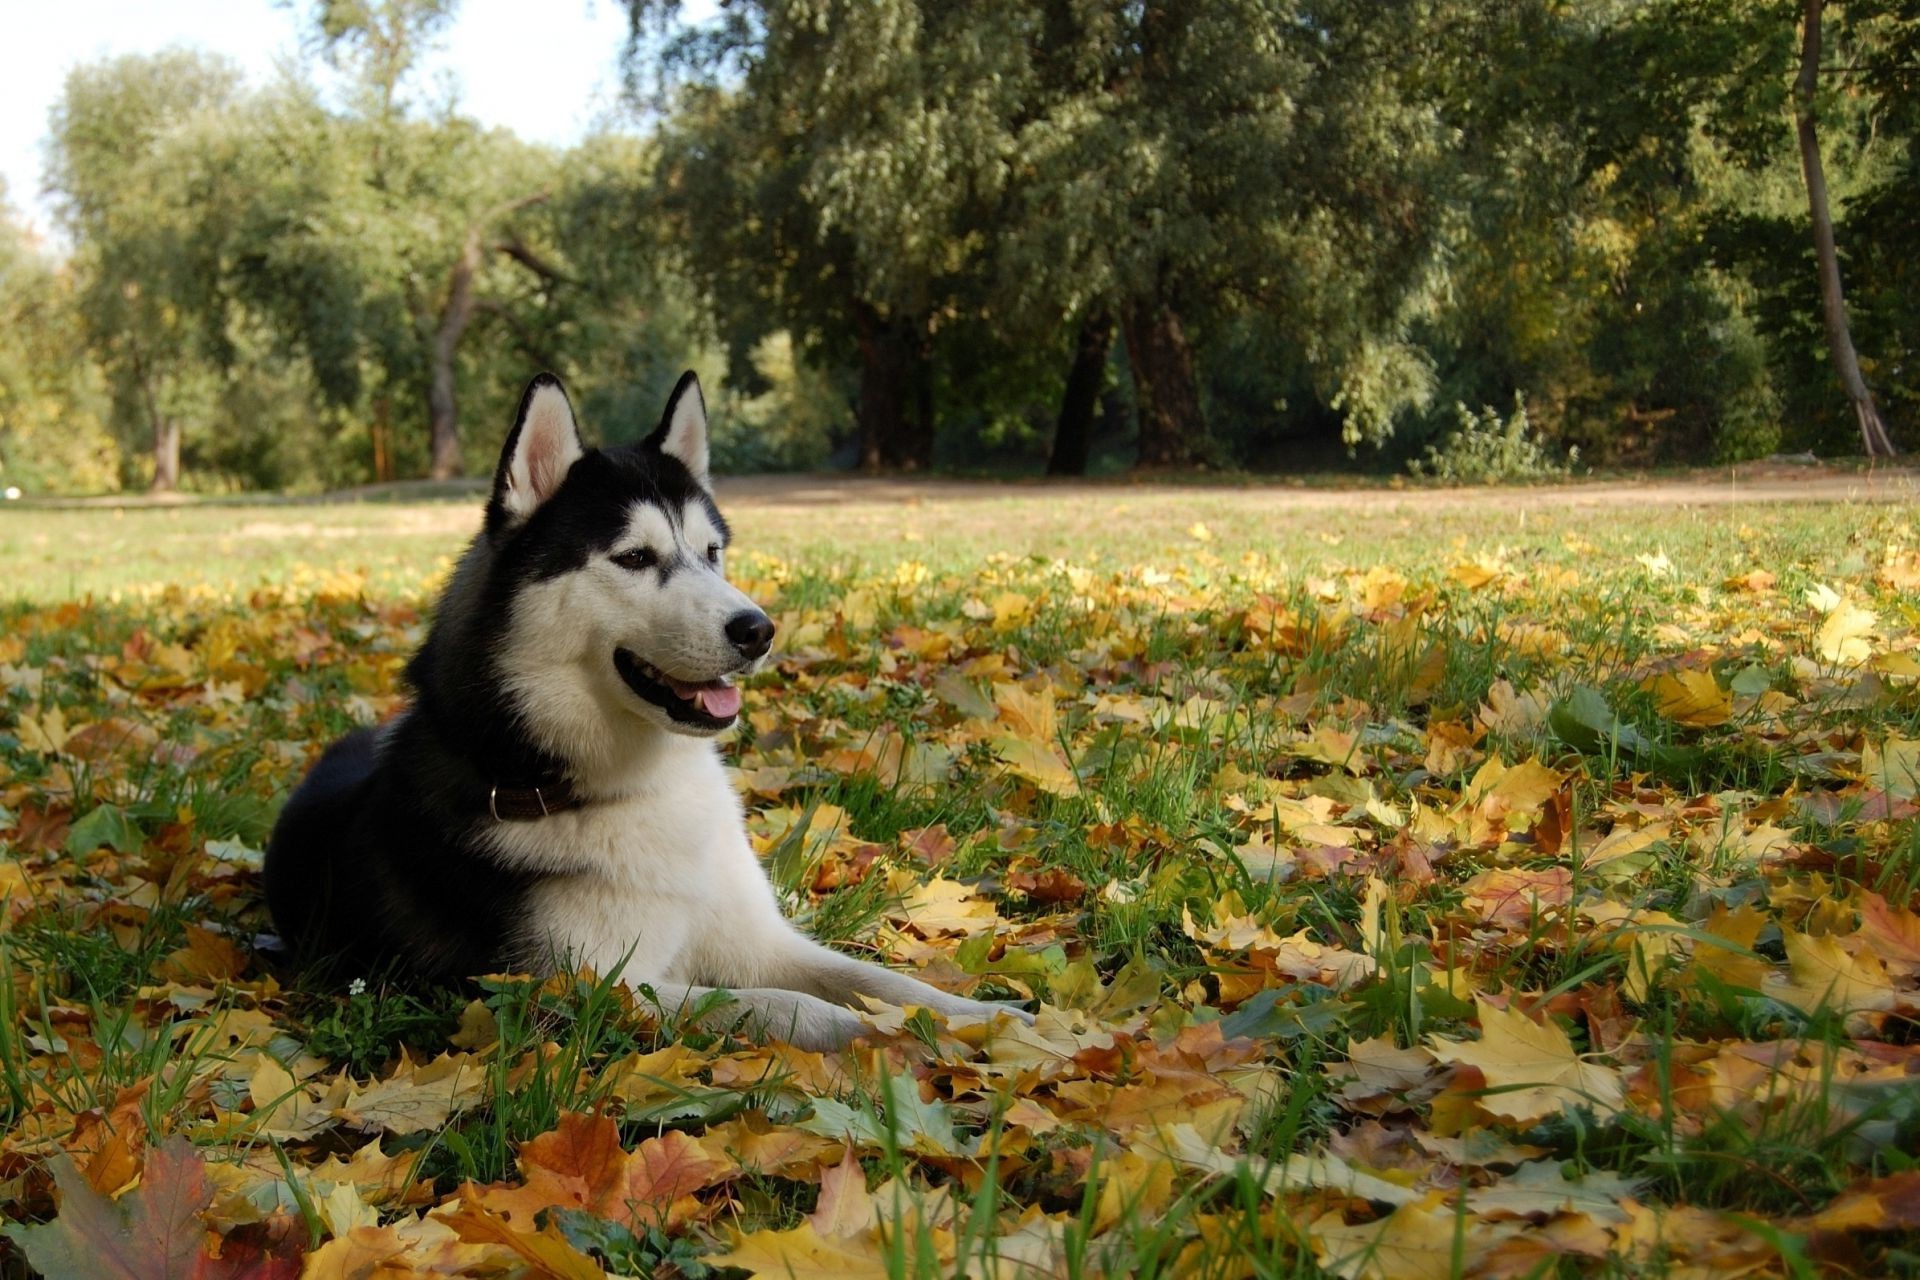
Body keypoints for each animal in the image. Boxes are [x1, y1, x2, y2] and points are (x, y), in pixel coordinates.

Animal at [266, 372, 1036, 1051]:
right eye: (635, 557)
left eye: (713, 552)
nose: (758, 630)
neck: (633, 788)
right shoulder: (576, 986)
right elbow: (772, 1005)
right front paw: (872, 1034)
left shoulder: (755, 940)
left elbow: (884, 981)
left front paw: (988, 1018)